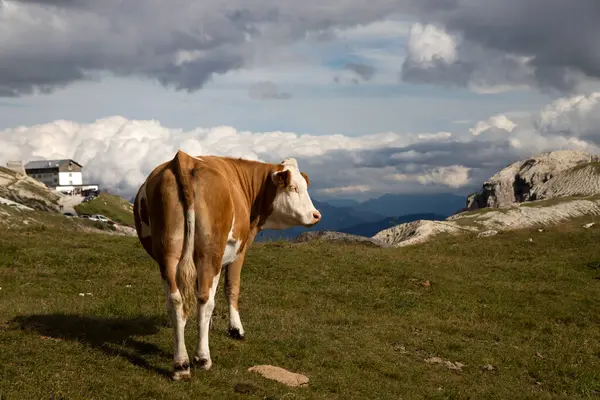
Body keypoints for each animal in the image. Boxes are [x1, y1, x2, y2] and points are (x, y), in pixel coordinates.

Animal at [133, 150, 322, 382]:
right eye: (294, 187)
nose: (316, 215)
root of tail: (185, 159)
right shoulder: (239, 250)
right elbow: (232, 287)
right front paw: (235, 329)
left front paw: (205, 326)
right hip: (210, 252)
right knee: (205, 299)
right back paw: (202, 358)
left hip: (168, 252)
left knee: (176, 299)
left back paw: (181, 364)